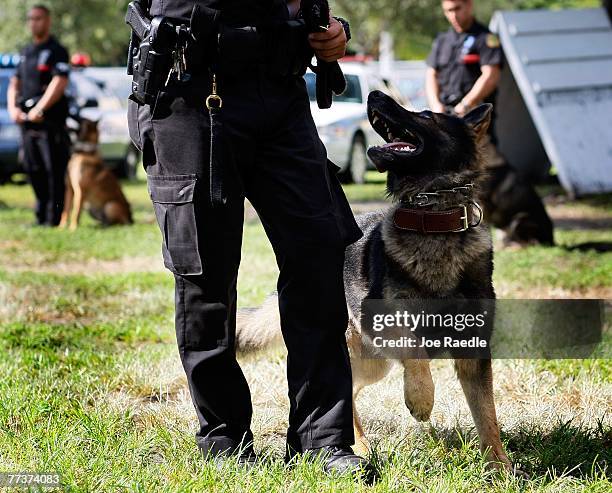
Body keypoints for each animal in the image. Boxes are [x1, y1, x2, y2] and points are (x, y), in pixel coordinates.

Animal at [234, 90, 516, 470]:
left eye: (426, 115)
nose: (375, 94)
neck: (433, 219)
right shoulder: (392, 322)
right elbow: (415, 349)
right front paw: (421, 398)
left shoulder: (474, 352)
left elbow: (487, 414)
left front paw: (499, 467)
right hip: (362, 351)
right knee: (342, 391)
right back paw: (360, 446)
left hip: (373, 363)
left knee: (348, 390)